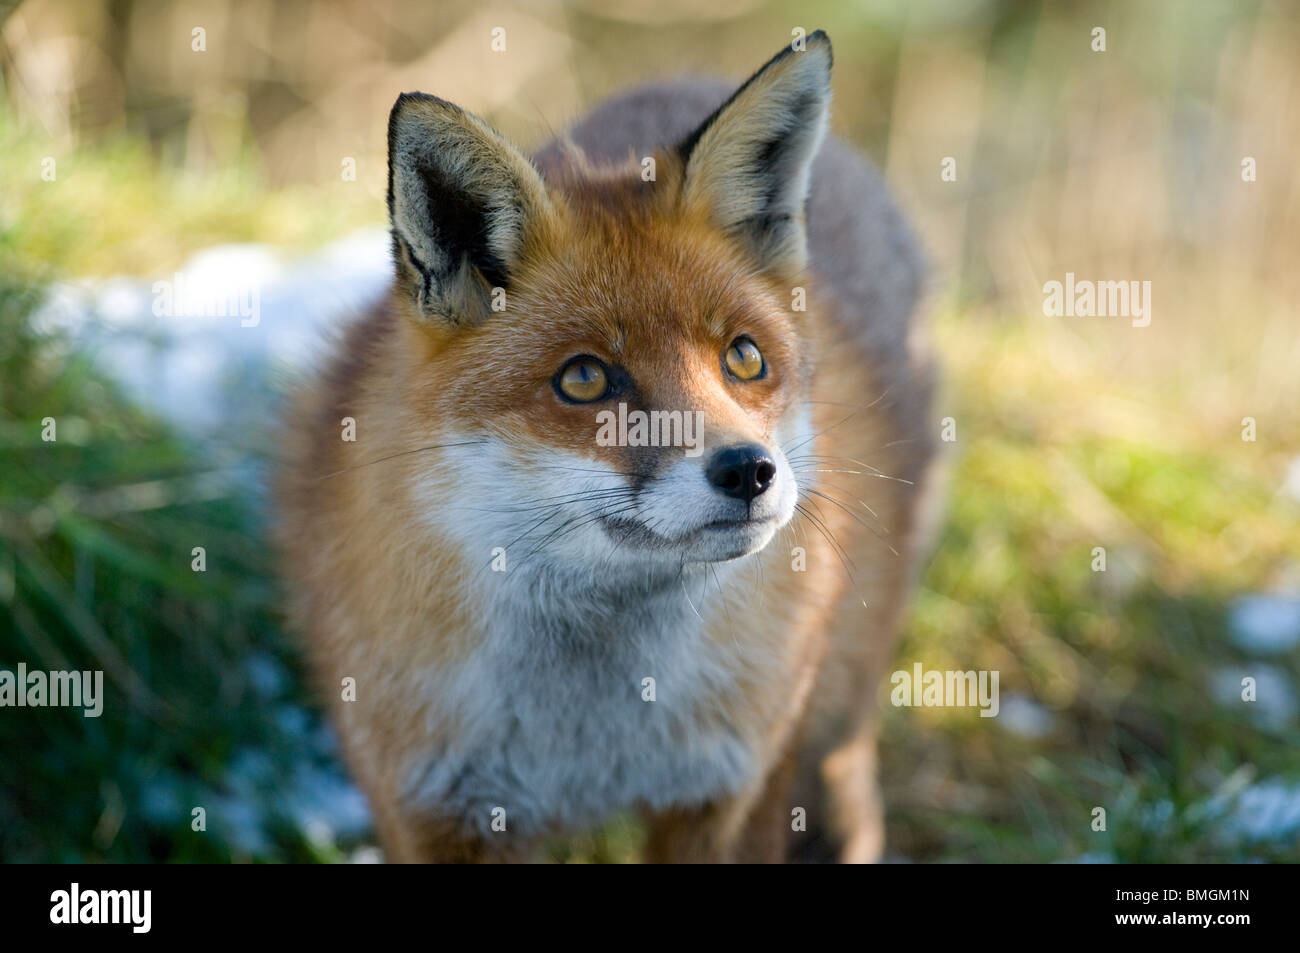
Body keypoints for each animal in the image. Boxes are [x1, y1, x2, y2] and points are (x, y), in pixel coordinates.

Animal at [279, 31, 941, 863]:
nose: (749, 470)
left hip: (833, 713)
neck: (589, 739)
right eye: (585, 377)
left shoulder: (728, 790)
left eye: (744, 358)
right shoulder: (430, 806)